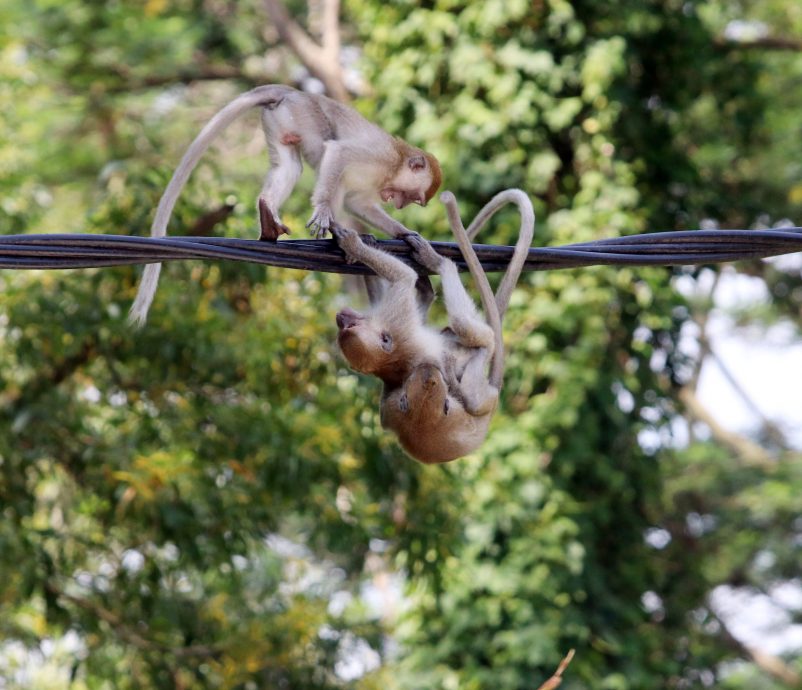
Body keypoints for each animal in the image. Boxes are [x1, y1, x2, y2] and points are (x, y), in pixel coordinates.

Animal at [128, 83, 440, 326]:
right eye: (413, 197)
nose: (399, 204)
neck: (394, 166)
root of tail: (296, 93)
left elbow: (358, 202)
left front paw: (405, 233)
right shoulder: (379, 156)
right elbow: (339, 152)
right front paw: (327, 213)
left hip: (281, 120)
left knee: (289, 165)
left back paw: (268, 212)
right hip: (305, 115)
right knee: (326, 149)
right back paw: (335, 228)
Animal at [334, 188, 536, 462]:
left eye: (349, 328)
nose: (341, 318)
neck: (387, 359)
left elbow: (409, 287)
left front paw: (359, 246)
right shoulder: (398, 320)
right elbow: (404, 279)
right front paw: (354, 244)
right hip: (477, 380)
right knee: (468, 333)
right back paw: (441, 265)